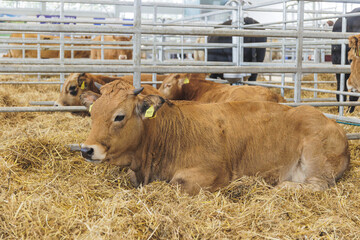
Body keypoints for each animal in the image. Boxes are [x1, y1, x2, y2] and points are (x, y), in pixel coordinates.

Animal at [79, 84, 348, 195]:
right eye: (92, 113)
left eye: (119, 116)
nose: (87, 149)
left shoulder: (210, 173)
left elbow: (176, 184)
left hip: (315, 160)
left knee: (317, 184)